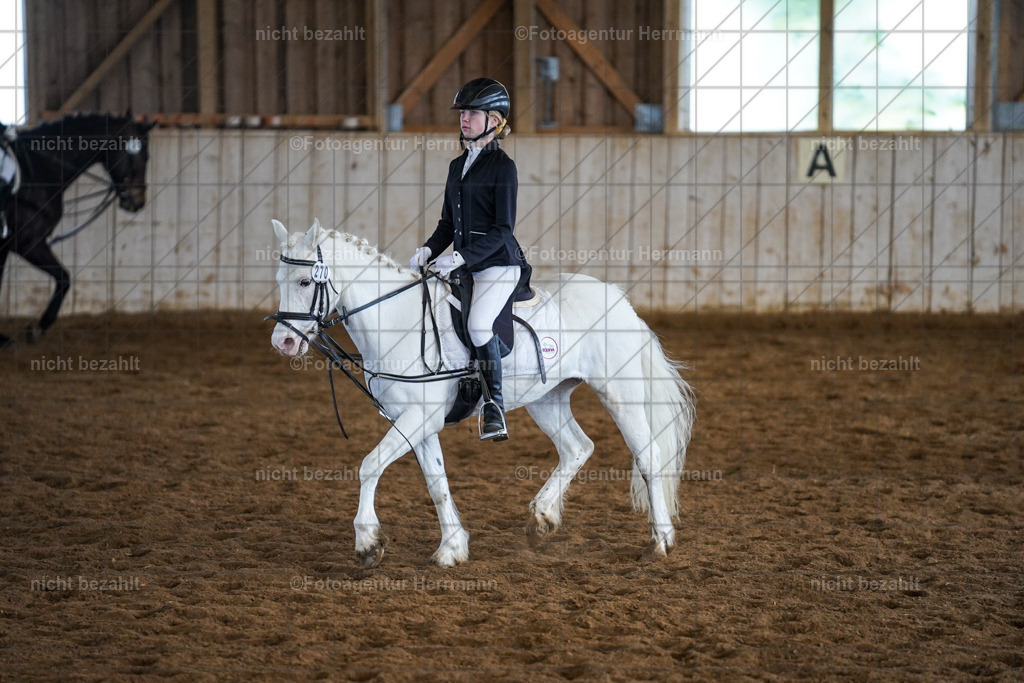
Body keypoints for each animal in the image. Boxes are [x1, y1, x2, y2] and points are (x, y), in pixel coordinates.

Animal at [0, 112, 155, 347]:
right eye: (141, 156)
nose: (137, 202)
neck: (37, 172)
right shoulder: (26, 242)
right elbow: (64, 278)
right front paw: (38, 327)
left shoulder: (9, 246)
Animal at [268, 219, 696, 568]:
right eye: (279, 282)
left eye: (305, 282)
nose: (282, 343)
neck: (398, 322)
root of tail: (620, 301)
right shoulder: (415, 422)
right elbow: (436, 483)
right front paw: (452, 549)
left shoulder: (419, 417)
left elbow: (369, 465)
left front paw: (368, 545)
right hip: (546, 399)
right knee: (578, 447)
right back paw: (542, 518)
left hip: (620, 393)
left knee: (649, 457)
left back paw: (659, 543)